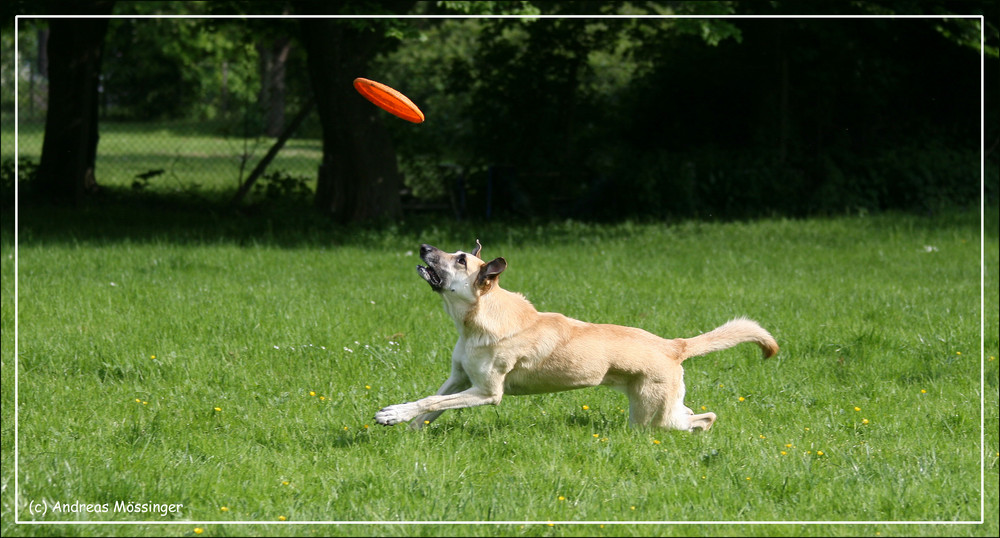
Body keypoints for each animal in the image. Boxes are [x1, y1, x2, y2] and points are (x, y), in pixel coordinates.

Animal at [372, 239, 776, 432]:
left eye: (460, 260)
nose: (424, 247)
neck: (477, 318)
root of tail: (673, 345)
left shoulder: (486, 393)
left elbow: (430, 401)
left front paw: (392, 415)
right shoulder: (459, 379)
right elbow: (432, 404)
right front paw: (408, 427)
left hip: (654, 412)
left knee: (702, 418)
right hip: (658, 406)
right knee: (696, 415)